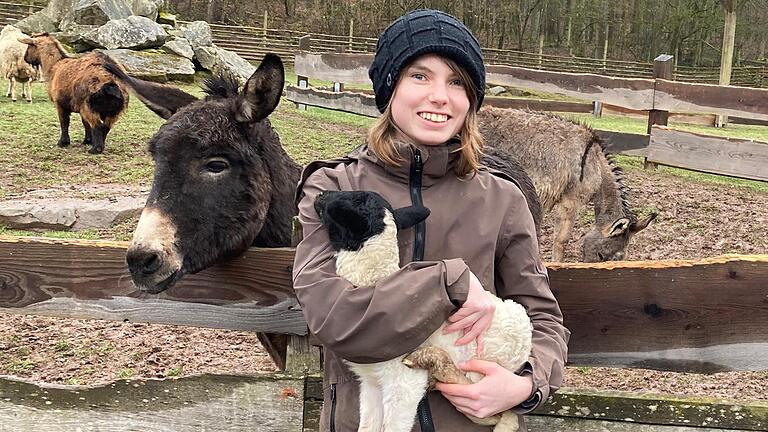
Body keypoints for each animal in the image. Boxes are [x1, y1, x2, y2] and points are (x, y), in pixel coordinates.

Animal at [314, 191, 536, 432]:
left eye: (353, 201)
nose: (319, 195)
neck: (375, 282)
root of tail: (525, 346)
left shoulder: (404, 386)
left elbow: (393, 427)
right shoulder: (372, 383)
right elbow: (367, 427)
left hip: (482, 378)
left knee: (501, 413)